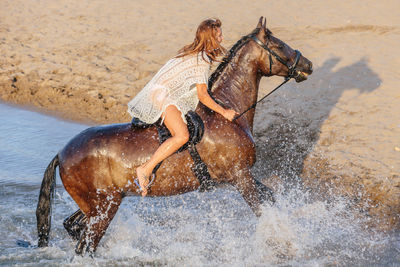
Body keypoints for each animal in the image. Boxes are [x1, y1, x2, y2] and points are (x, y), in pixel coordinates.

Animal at [36, 17, 314, 256]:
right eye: (279, 44)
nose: (308, 65)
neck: (226, 110)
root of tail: (61, 154)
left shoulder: (243, 175)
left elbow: (270, 198)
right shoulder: (240, 176)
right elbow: (261, 210)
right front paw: (280, 245)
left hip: (96, 206)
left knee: (73, 226)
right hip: (105, 208)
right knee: (86, 246)